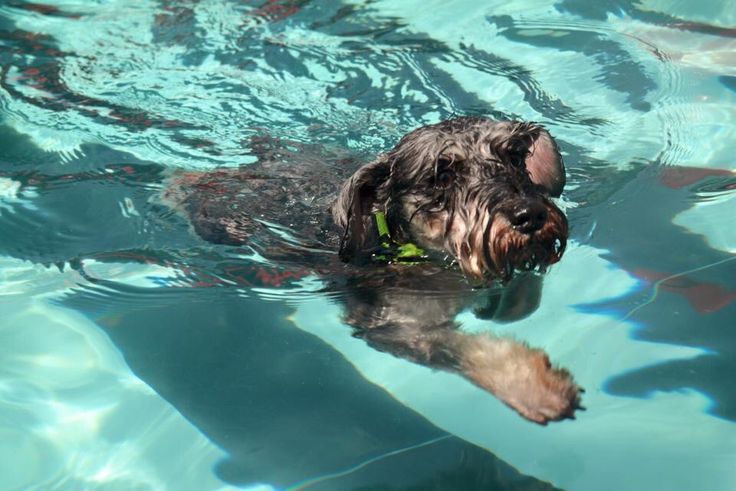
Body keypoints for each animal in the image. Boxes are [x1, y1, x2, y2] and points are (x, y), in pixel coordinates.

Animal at [165, 117, 580, 424]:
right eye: (442, 176)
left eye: (515, 157)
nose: (530, 215)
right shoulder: (397, 328)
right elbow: (464, 350)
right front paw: (538, 388)